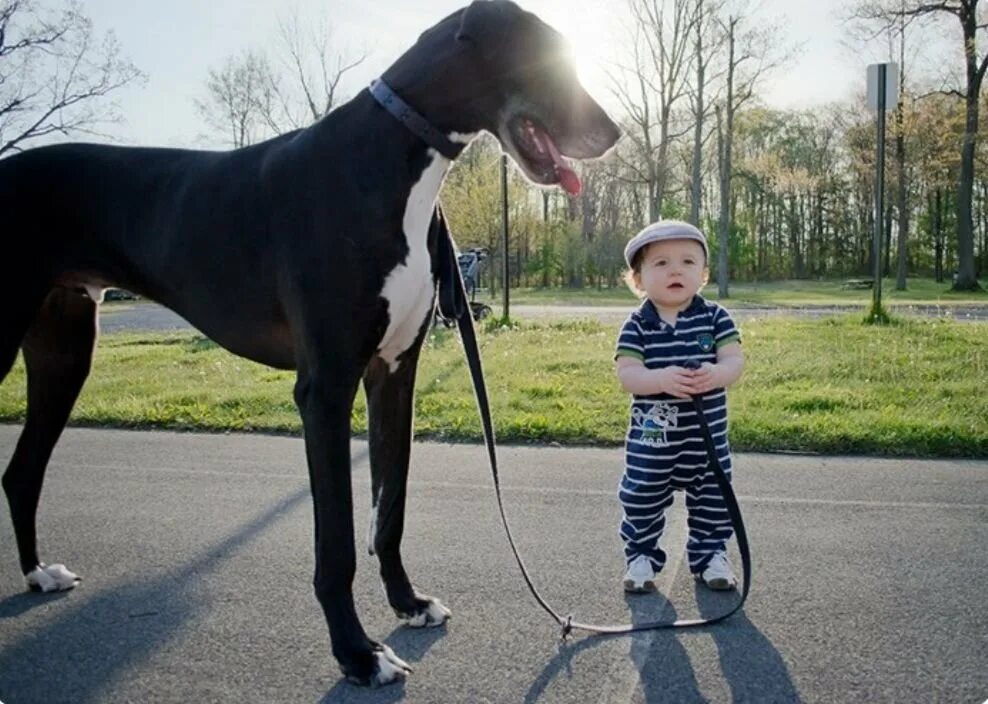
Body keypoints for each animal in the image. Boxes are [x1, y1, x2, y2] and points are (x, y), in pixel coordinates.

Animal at [0, 0, 616, 684]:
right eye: (547, 59)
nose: (613, 133)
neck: (391, 156)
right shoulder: (325, 388)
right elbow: (339, 541)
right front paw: (357, 653)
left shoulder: (393, 375)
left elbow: (389, 510)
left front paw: (407, 603)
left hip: (65, 351)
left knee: (21, 472)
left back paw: (38, 574)